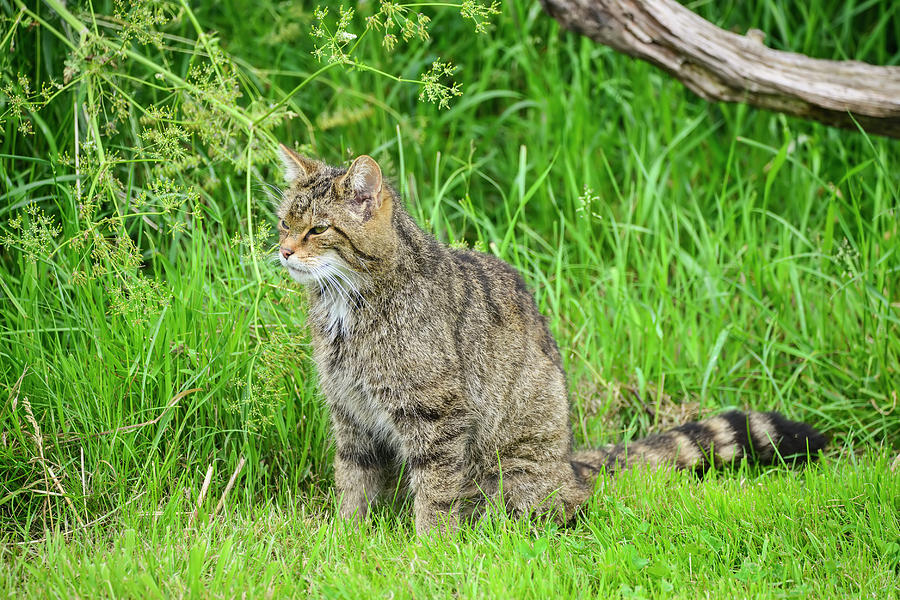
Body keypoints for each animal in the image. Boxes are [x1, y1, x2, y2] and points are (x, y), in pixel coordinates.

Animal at [276, 145, 828, 536]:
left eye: (319, 229)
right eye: (285, 222)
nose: (281, 251)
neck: (346, 307)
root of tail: (569, 463)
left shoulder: (437, 416)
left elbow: (434, 493)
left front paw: (428, 549)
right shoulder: (350, 415)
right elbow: (355, 483)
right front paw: (346, 539)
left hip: (512, 476)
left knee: (560, 508)